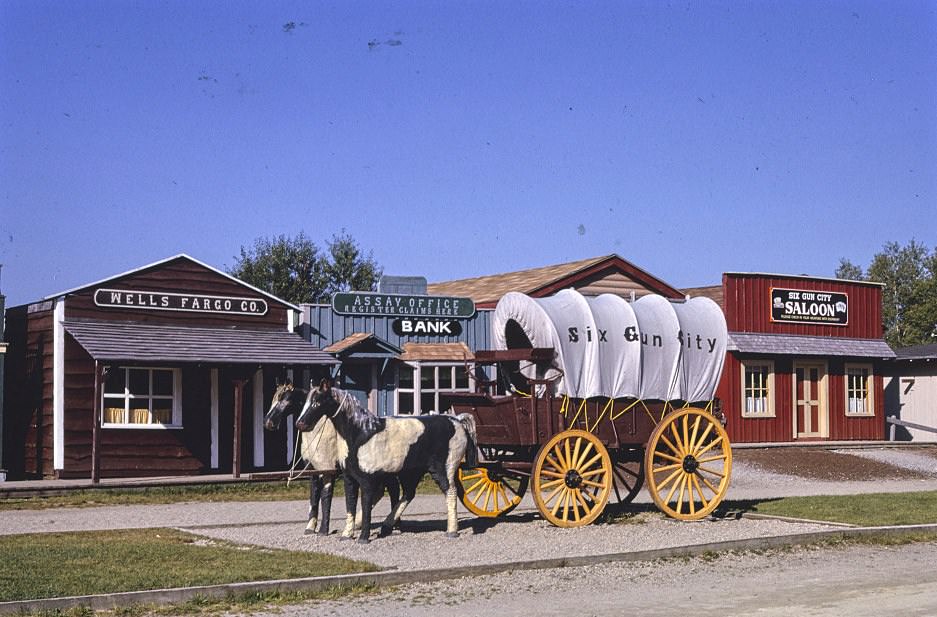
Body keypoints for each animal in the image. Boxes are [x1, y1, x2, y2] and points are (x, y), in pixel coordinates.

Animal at [264, 382, 398, 536]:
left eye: (284, 399)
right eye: (275, 398)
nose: (268, 422)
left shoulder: (328, 470)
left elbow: (325, 497)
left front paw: (323, 530)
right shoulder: (313, 471)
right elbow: (314, 496)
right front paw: (310, 528)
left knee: (393, 489)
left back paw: (392, 524)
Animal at [296, 378, 478, 540]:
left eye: (317, 402)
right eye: (305, 401)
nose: (300, 424)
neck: (360, 433)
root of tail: (457, 421)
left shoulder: (367, 480)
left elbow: (366, 505)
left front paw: (363, 538)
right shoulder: (349, 478)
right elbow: (350, 504)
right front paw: (346, 535)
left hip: (444, 469)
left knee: (450, 491)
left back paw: (451, 531)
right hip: (411, 472)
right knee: (409, 494)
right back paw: (386, 526)